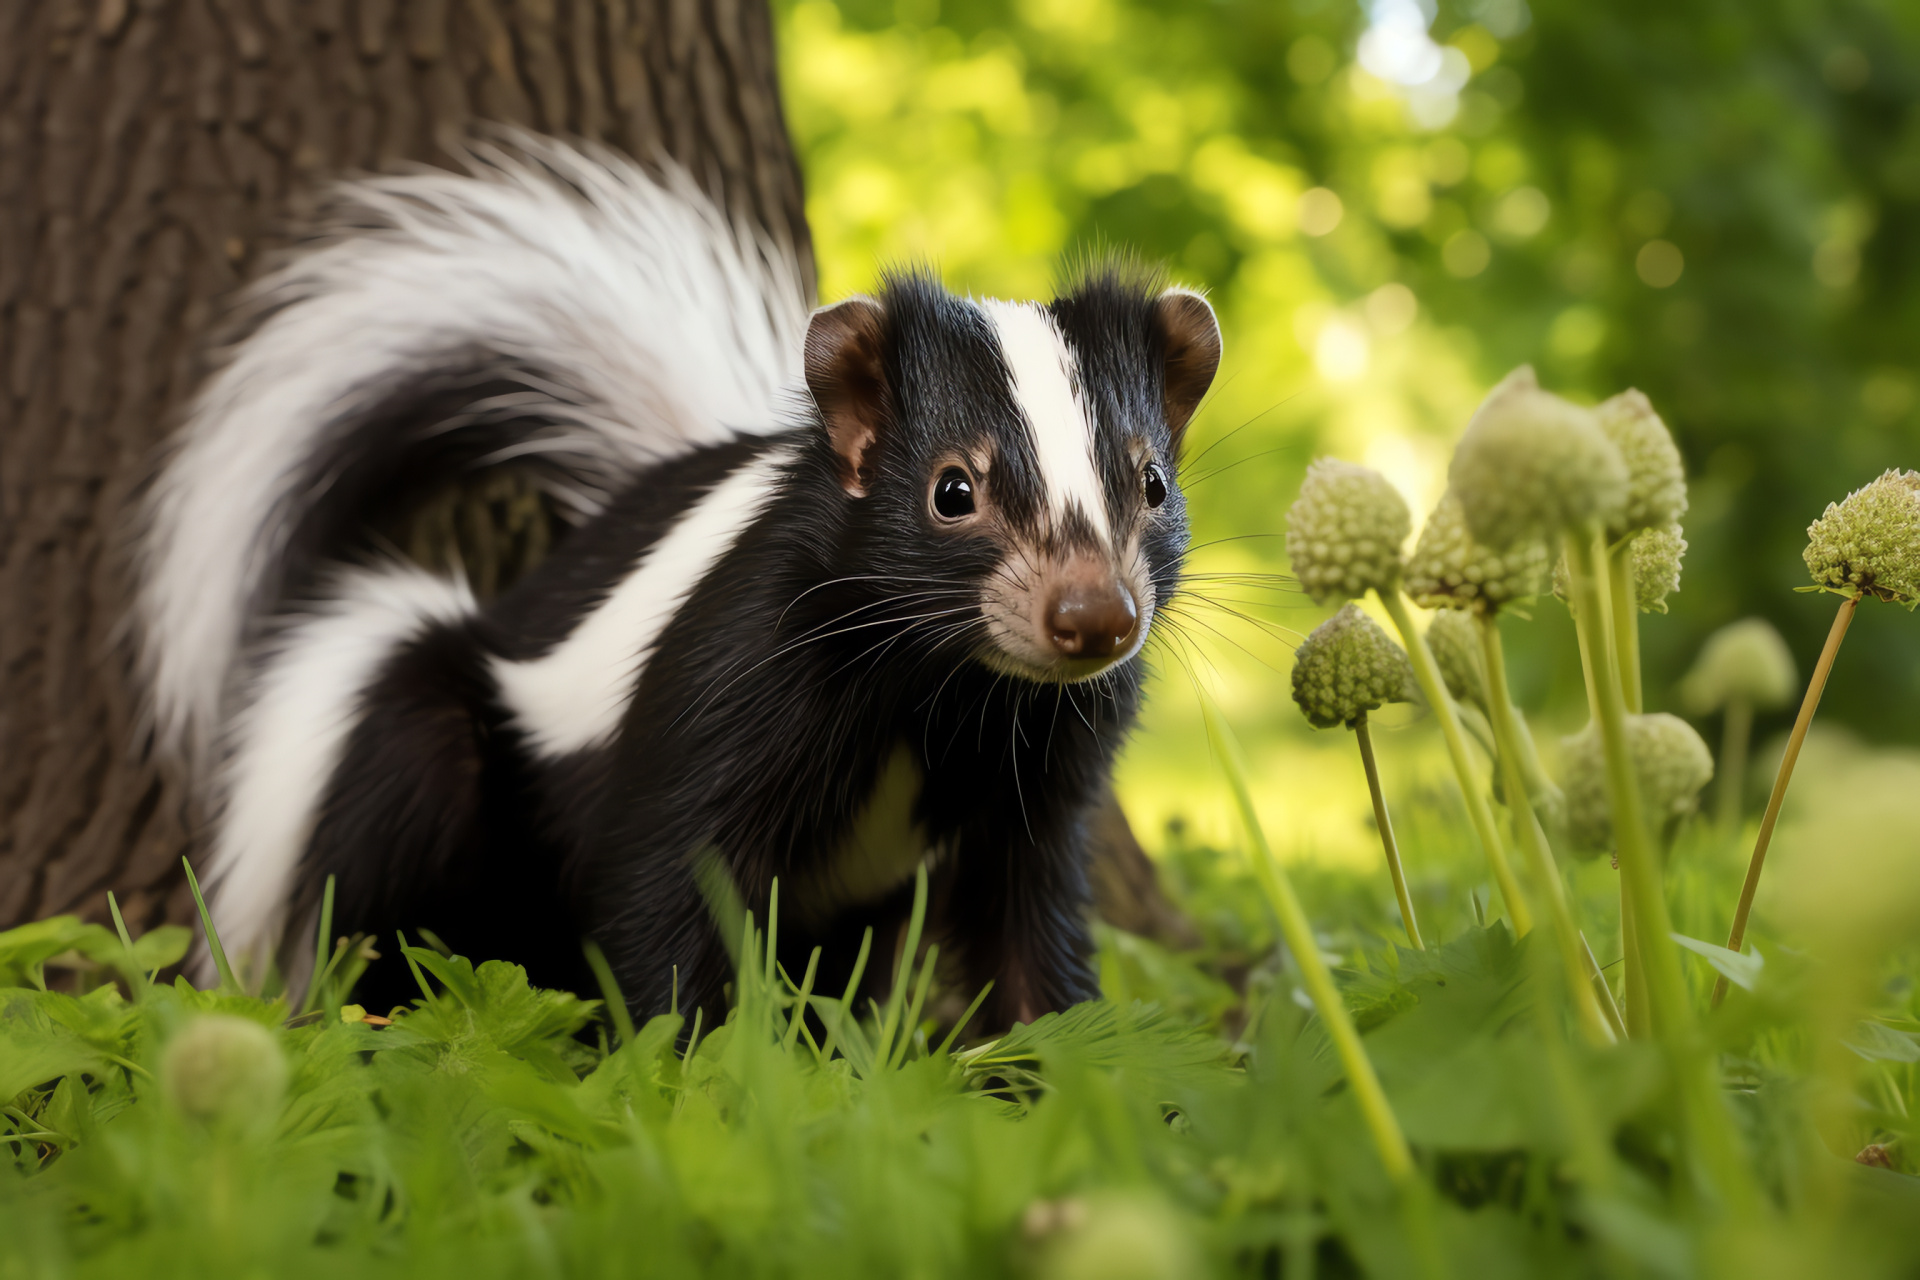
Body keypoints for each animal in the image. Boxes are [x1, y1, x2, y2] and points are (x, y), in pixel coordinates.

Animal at [139, 130, 1213, 1028]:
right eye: (954, 490)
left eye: (1152, 483)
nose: (1092, 615)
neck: (937, 686)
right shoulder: (740, 668)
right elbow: (671, 877)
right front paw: (693, 1072)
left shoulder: (1049, 749)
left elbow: (1028, 916)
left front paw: (1062, 1072)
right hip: (428, 724)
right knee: (395, 832)